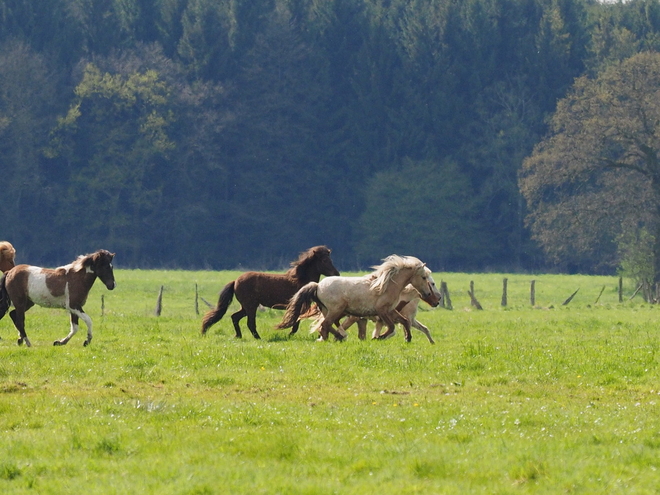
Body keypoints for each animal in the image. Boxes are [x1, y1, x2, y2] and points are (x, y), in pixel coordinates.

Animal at [201, 246, 340, 340]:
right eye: (324, 260)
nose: (337, 274)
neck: (301, 280)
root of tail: (235, 281)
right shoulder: (300, 306)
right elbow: (295, 323)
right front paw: (289, 335)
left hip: (246, 307)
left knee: (235, 317)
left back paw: (238, 336)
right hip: (251, 307)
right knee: (250, 323)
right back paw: (258, 338)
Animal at [278, 254, 438, 342]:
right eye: (424, 277)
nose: (429, 296)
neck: (386, 285)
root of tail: (317, 286)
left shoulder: (391, 311)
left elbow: (404, 322)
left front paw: (408, 339)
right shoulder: (382, 311)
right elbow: (392, 328)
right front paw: (378, 337)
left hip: (328, 311)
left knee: (327, 325)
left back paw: (339, 337)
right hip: (336, 310)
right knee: (325, 325)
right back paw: (333, 338)